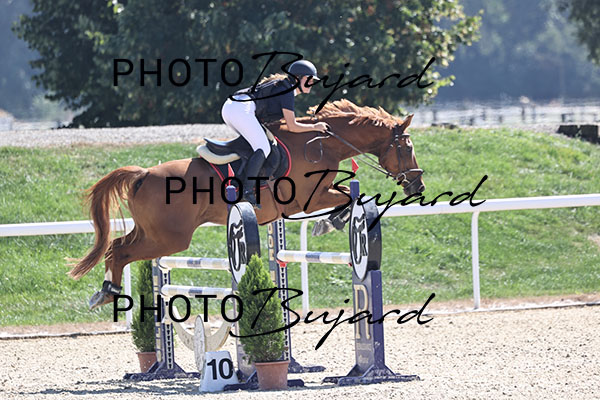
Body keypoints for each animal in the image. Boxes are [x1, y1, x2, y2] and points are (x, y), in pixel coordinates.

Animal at [69, 99, 425, 309]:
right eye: (407, 148)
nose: (418, 185)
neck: (319, 144)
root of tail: (143, 174)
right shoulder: (307, 199)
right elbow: (350, 198)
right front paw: (330, 222)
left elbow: (348, 197)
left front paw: (331, 222)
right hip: (169, 239)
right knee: (120, 252)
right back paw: (107, 293)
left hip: (152, 233)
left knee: (115, 246)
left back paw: (104, 291)